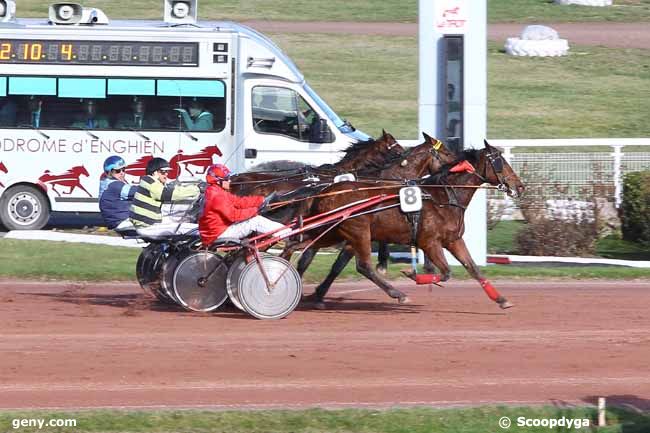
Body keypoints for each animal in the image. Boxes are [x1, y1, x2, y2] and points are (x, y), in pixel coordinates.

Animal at [292, 140, 524, 308]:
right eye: (501, 162)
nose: (520, 186)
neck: (443, 197)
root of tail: (324, 190)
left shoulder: (453, 240)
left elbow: (473, 269)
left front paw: (501, 299)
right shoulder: (429, 242)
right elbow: (446, 272)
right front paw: (413, 274)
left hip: (333, 232)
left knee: (300, 247)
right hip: (358, 232)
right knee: (363, 266)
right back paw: (398, 293)